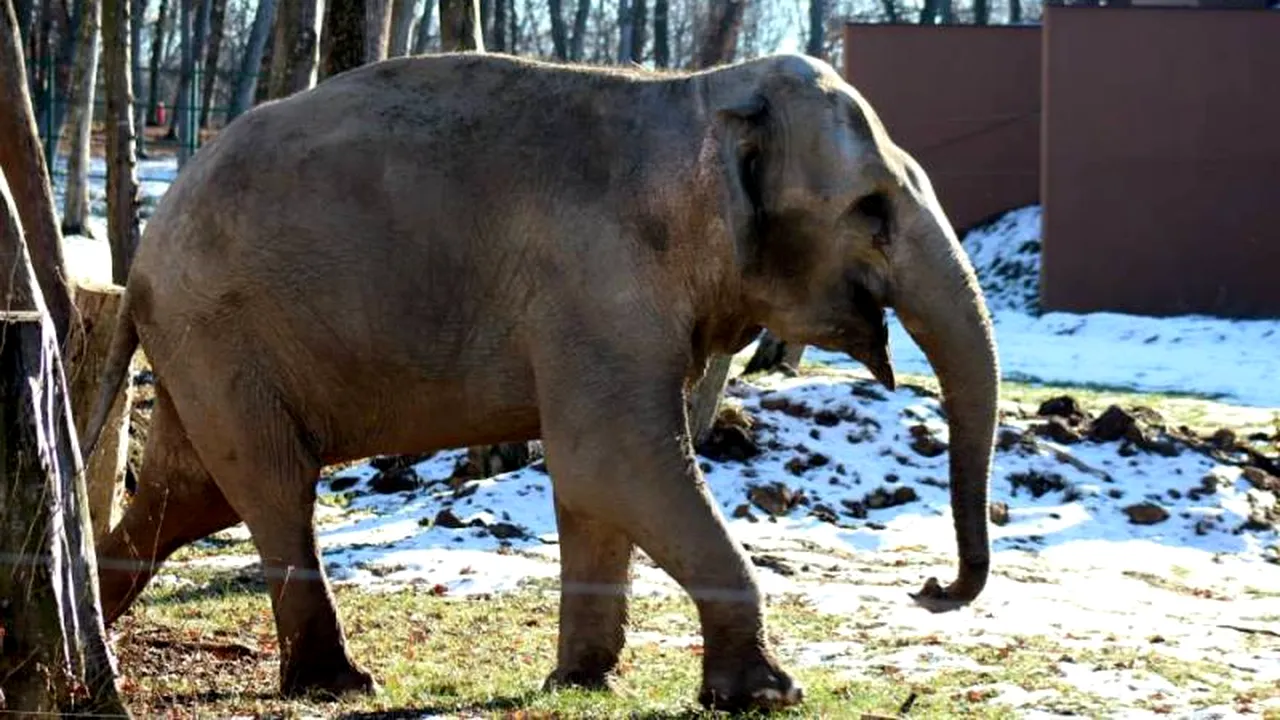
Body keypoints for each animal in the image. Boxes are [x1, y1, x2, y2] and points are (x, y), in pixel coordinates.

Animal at [82, 50, 999, 713]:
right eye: (872, 209)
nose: (929, 588)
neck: (696, 97)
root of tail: (141, 263)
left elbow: (598, 483)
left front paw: (583, 682)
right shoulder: (596, 284)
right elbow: (613, 460)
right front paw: (768, 697)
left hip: (204, 352)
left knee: (192, 495)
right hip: (221, 335)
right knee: (274, 489)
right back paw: (337, 684)